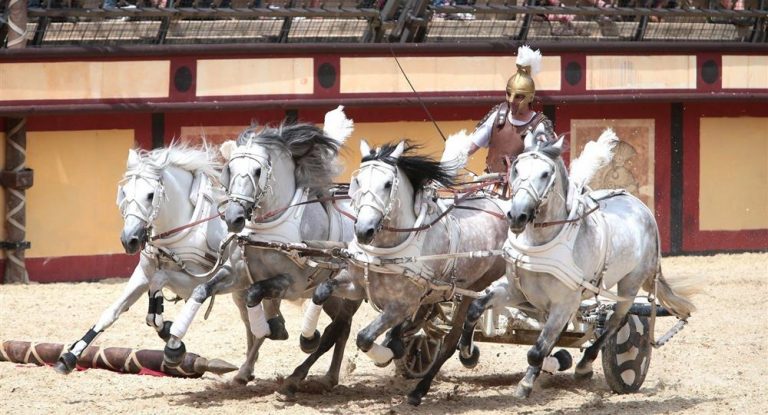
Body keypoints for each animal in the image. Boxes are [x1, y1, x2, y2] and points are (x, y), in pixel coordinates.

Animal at [54, 143, 266, 384]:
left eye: (150, 194)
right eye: (124, 192)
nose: (129, 240)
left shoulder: (195, 282)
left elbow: (158, 288)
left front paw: (172, 340)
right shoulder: (142, 273)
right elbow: (113, 312)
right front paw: (70, 356)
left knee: (257, 326)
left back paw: (246, 369)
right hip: (240, 290)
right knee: (251, 325)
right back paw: (247, 370)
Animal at [161, 107, 364, 394]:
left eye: (258, 171)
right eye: (229, 169)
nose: (233, 217)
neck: (268, 232)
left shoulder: (292, 283)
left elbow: (255, 295)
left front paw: (274, 330)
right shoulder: (237, 274)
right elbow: (202, 290)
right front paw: (174, 348)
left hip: (349, 290)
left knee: (336, 329)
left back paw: (298, 372)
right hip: (335, 295)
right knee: (341, 328)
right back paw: (328, 377)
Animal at [460, 131, 700, 400]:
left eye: (545, 174)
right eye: (516, 168)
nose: (517, 215)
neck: (543, 243)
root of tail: (637, 203)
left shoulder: (564, 303)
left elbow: (537, 349)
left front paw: (525, 385)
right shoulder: (515, 291)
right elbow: (476, 308)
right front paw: (467, 353)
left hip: (630, 283)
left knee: (616, 322)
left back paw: (585, 365)